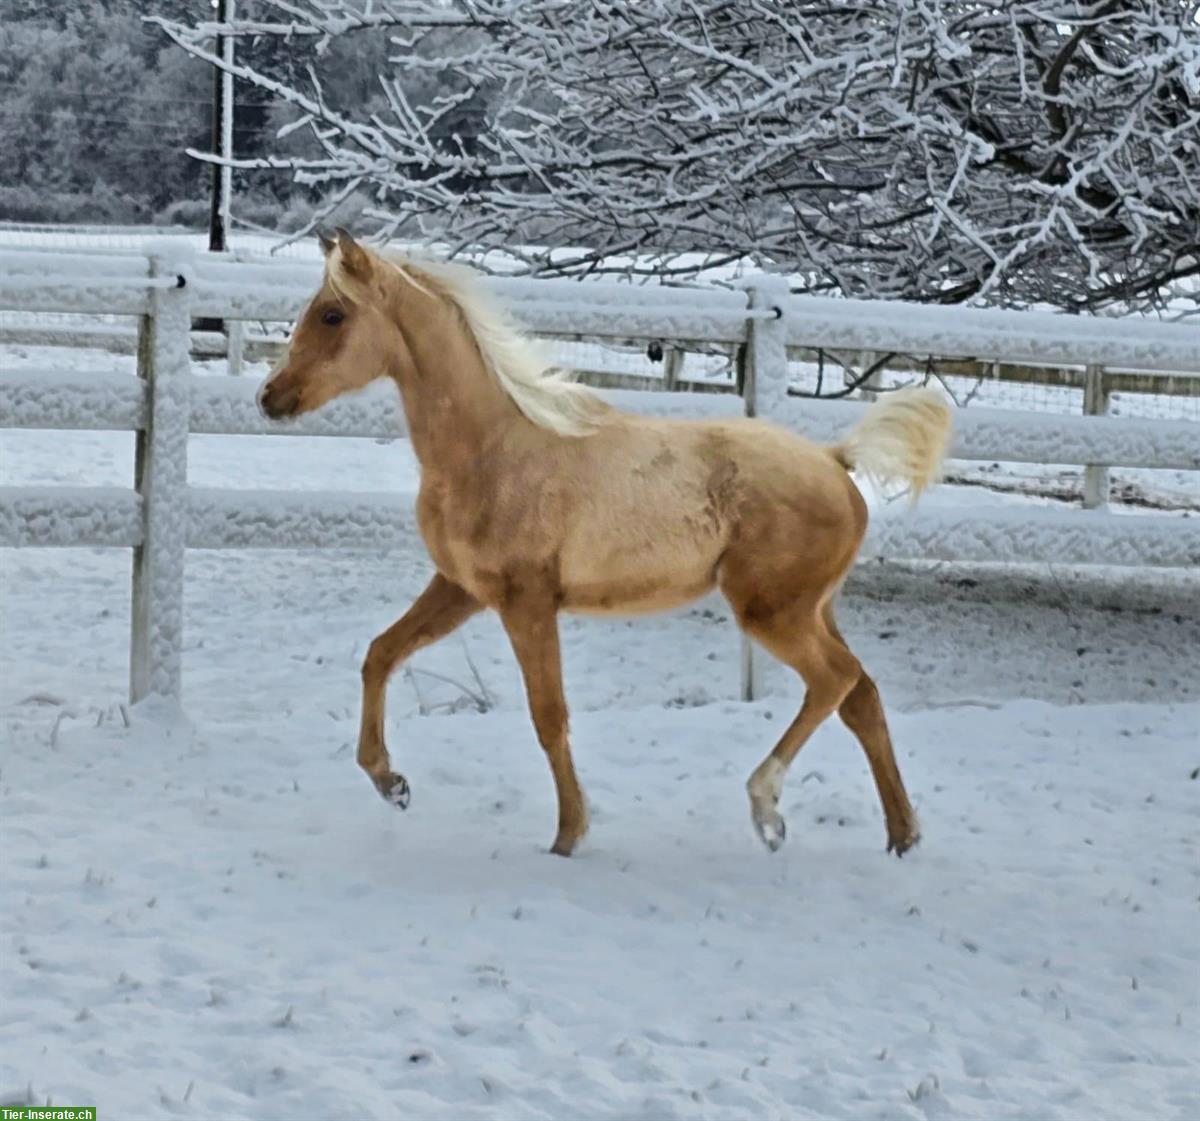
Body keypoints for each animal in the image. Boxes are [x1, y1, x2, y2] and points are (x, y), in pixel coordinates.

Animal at [258, 228, 950, 859]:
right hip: (813, 608)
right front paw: (391, 783)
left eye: (331, 314)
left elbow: (549, 715)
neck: (492, 450)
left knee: (837, 681)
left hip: (771, 611)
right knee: (862, 696)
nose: (270, 398)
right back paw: (902, 836)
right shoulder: (461, 589)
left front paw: (568, 836)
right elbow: (380, 654)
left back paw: (768, 811)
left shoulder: (527, 602)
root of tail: (836, 462)